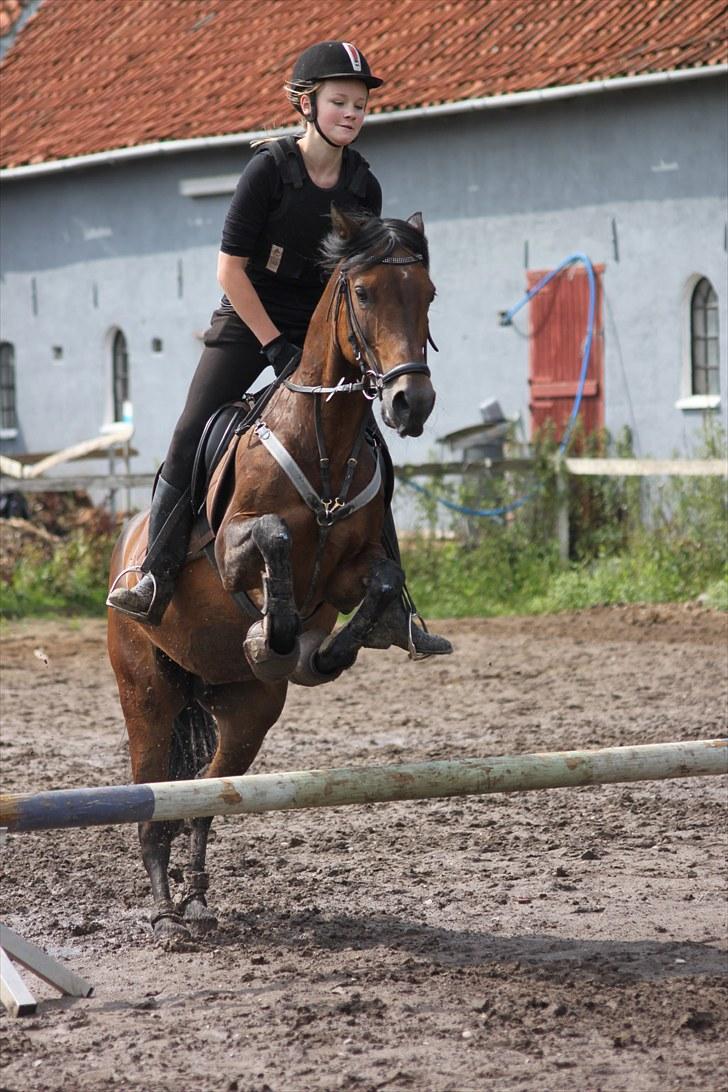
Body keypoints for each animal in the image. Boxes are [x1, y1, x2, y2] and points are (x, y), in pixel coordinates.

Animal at [106, 208, 438, 943]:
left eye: (428, 294)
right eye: (364, 293)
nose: (412, 403)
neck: (324, 442)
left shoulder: (348, 575)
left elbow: (379, 580)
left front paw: (328, 653)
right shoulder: (234, 547)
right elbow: (275, 537)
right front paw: (271, 635)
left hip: (247, 712)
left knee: (204, 793)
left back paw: (198, 897)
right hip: (146, 689)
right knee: (154, 800)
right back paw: (165, 910)